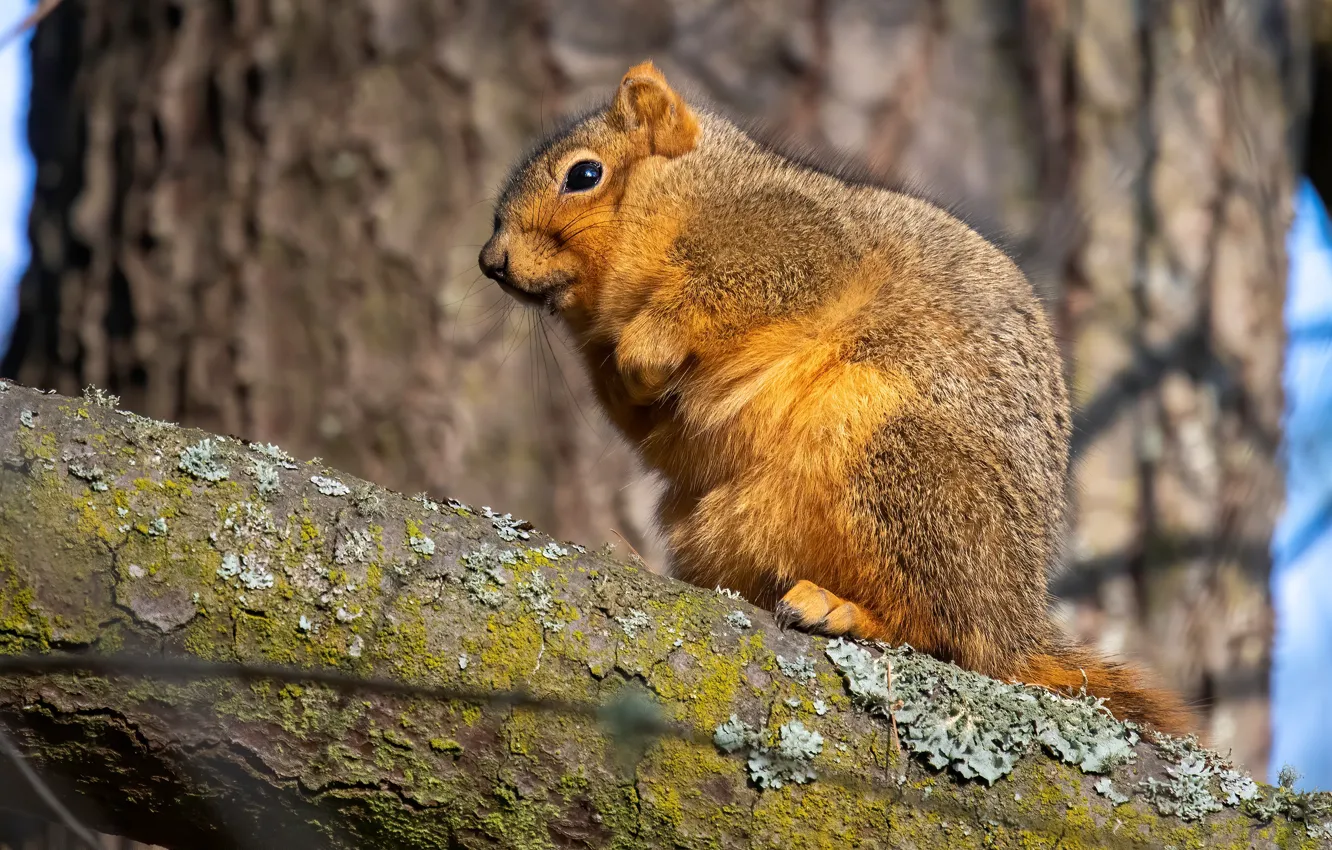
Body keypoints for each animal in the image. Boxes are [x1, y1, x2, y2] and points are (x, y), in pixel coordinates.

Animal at [478, 60, 1195, 735]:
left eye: (584, 174)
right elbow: (647, 424)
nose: (491, 262)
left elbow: (731, 292)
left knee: (944, 632)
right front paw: (631, 375)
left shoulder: (797, 243)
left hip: (906, 469)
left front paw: (648, 344)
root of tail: (1014, 622)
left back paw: (845, 611)